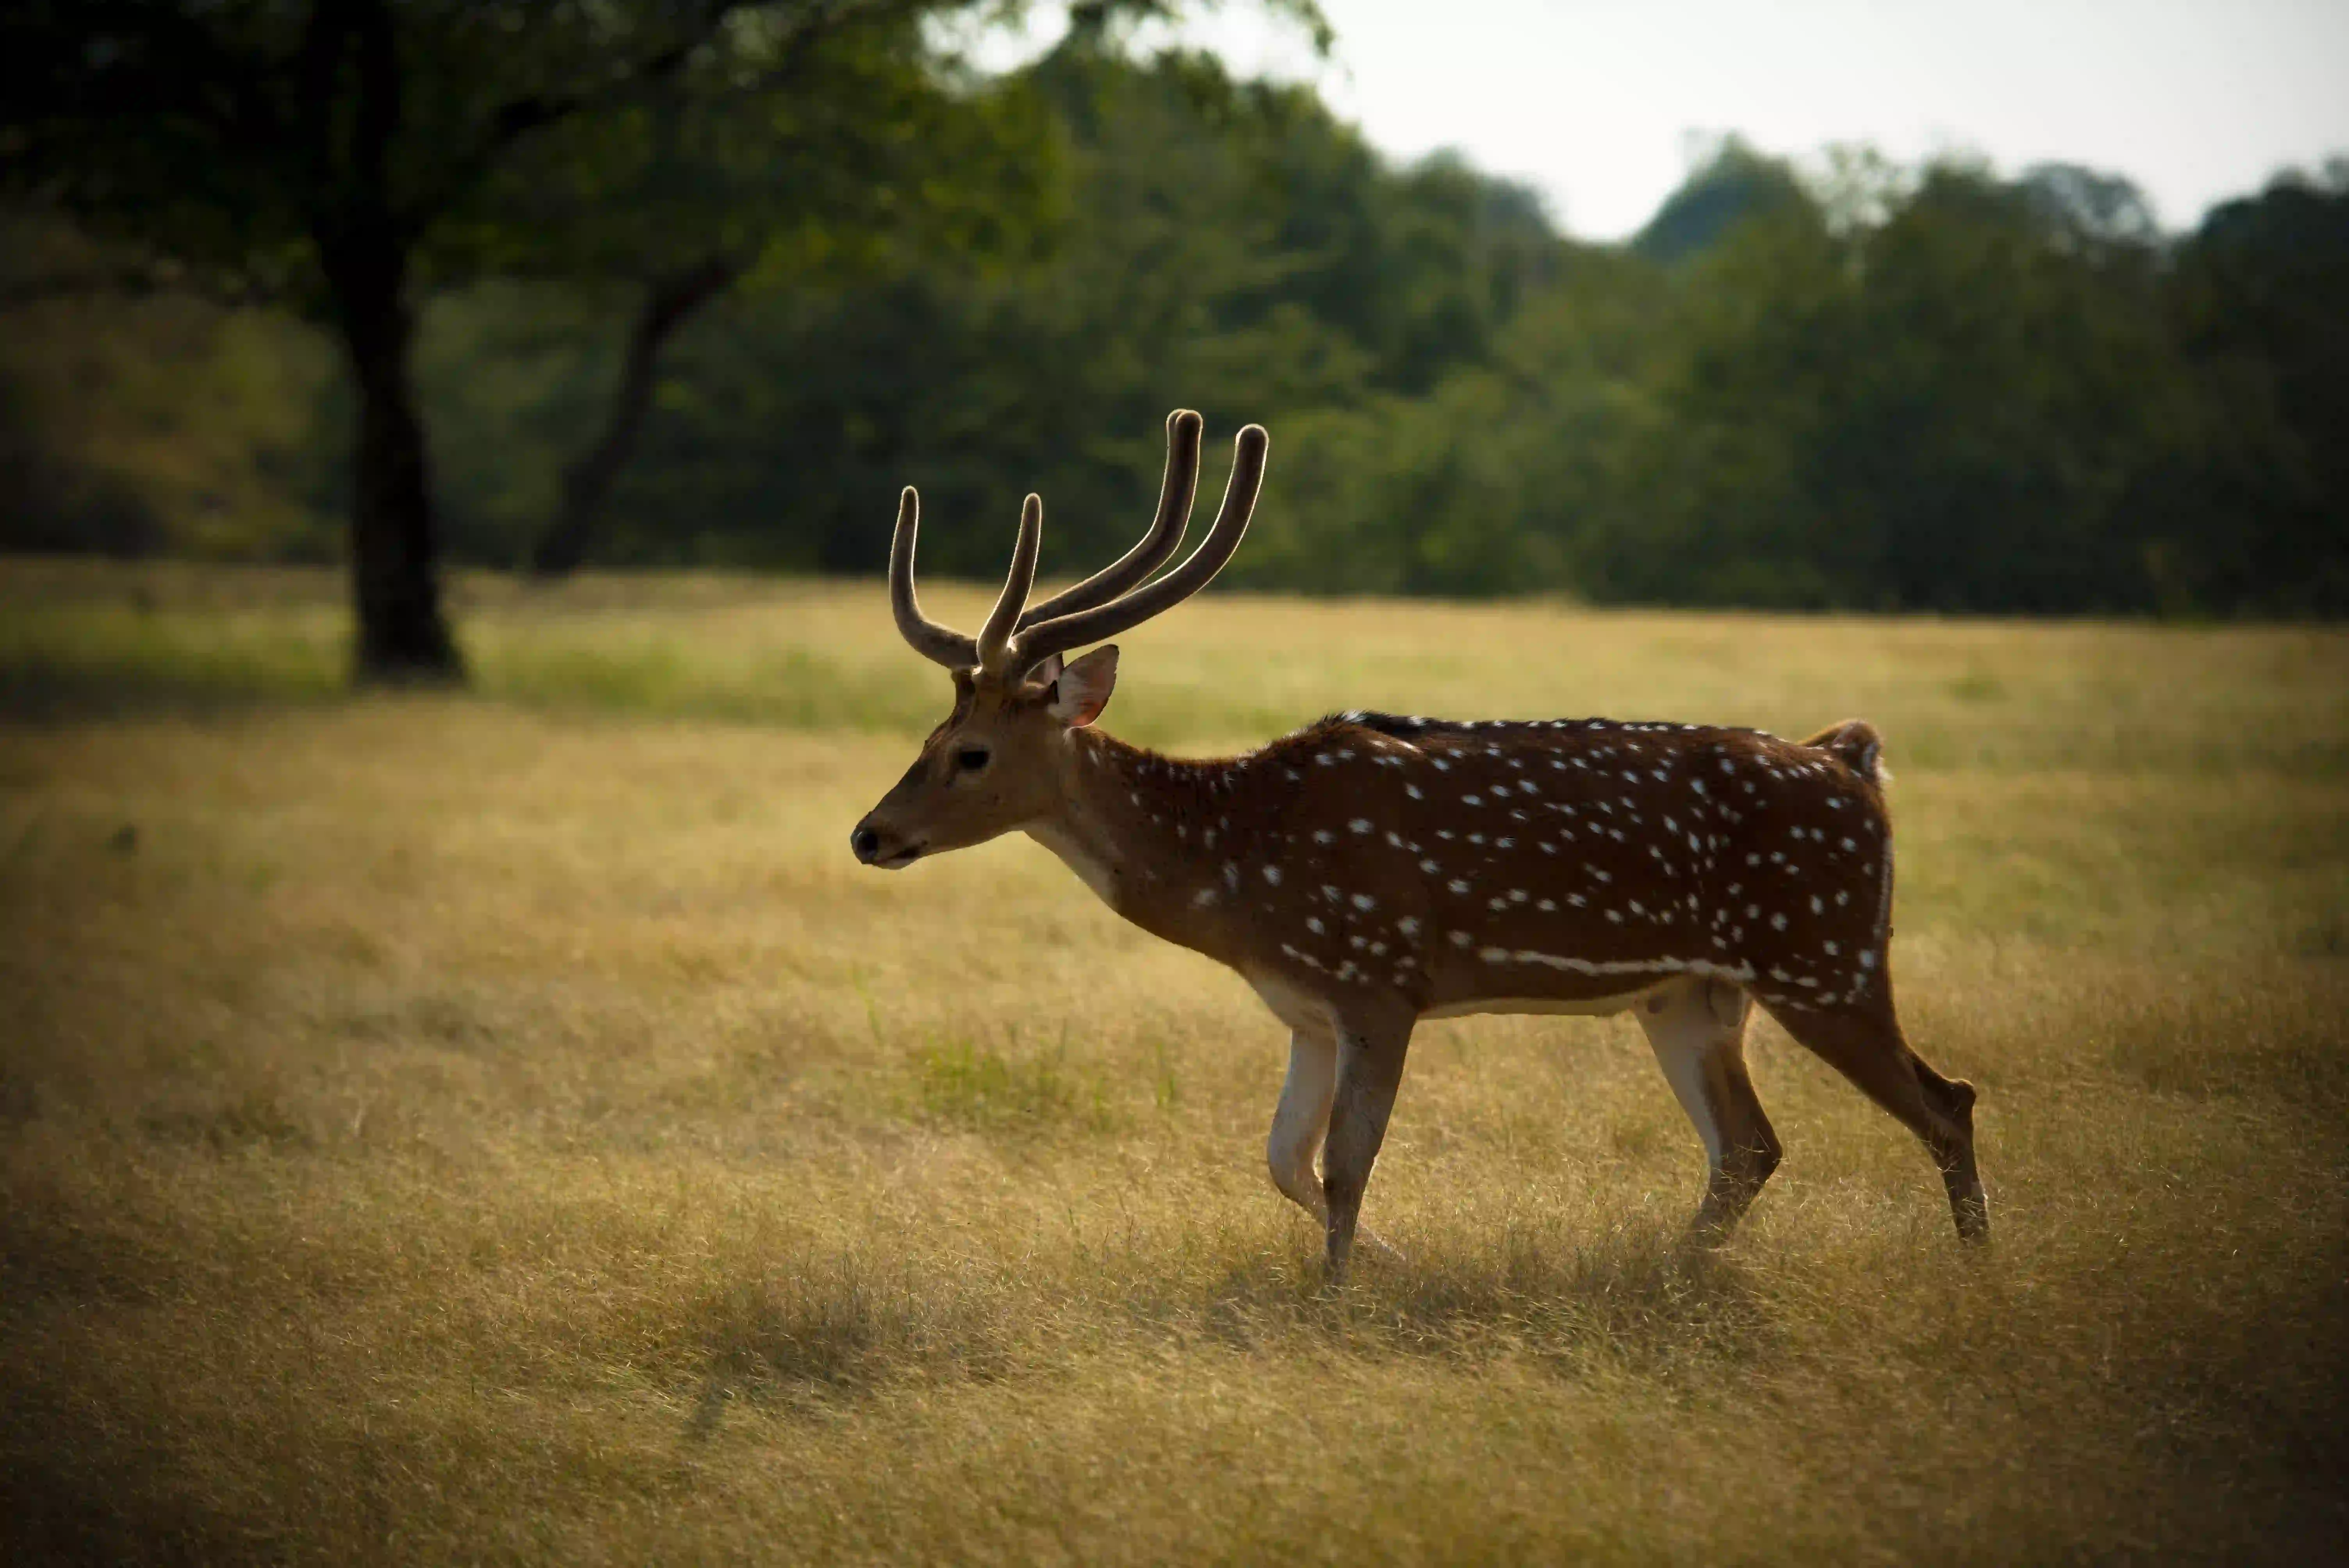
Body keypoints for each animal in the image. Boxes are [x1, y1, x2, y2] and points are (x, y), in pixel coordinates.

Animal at [845, 408, 1982, 1277]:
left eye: (972, 754)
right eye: (927, 737)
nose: (869, 833)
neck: (1237, 875)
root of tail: (1855, 761)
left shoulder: (1379, 979)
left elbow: (1344, 1165)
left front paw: (1339, 1295)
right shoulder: (1306, 1010)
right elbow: (1281, 1160)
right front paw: (1392, 1265)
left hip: (1825, 954)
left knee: (1944, 1100)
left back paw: (1973, 1272)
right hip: (1691, 994)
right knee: (1750, 1145)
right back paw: (1668, 1272)